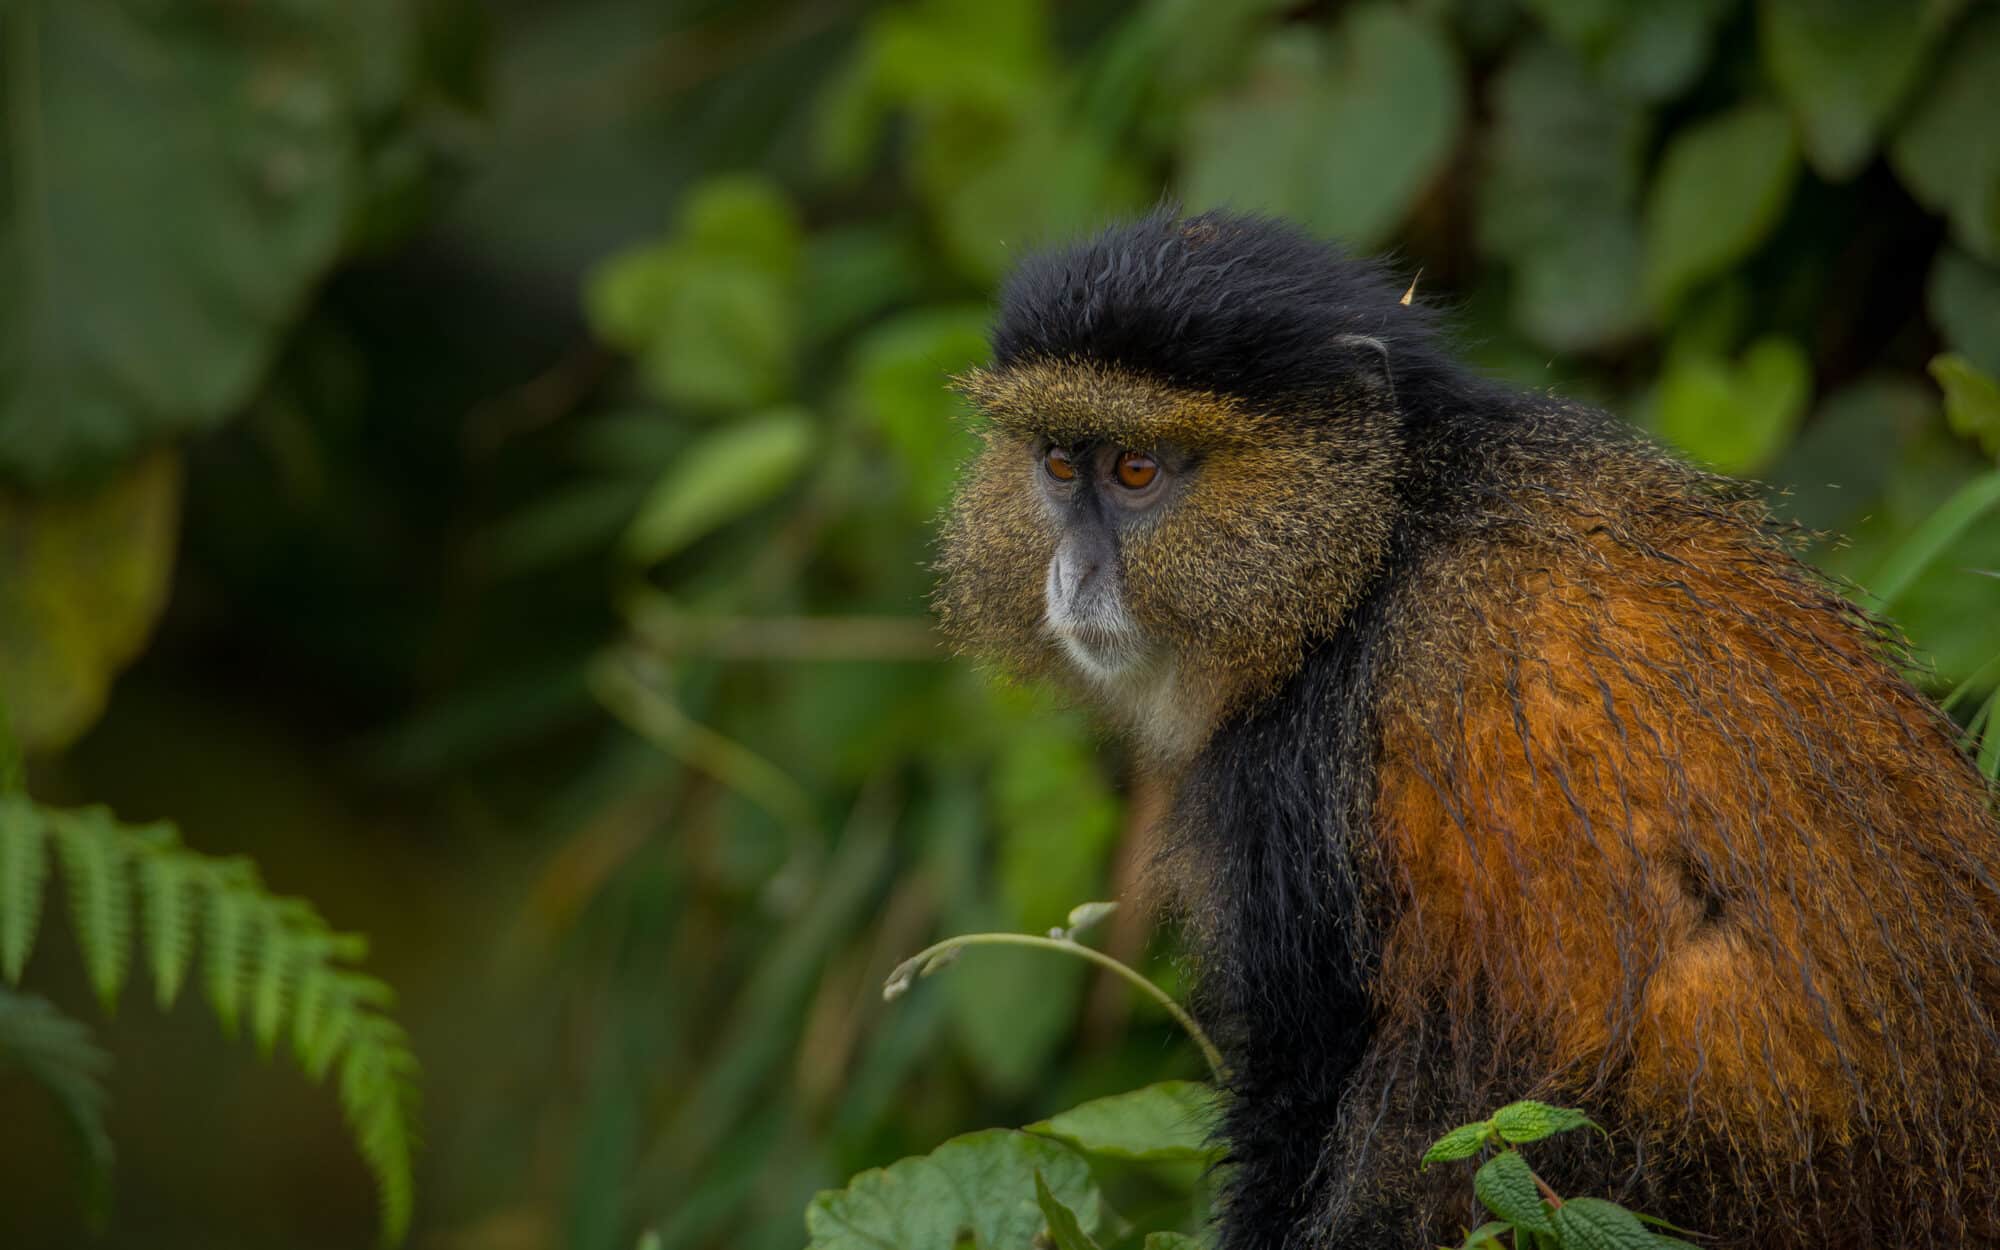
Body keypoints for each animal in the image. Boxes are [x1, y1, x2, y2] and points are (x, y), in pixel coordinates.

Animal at [933, 210, 2000, 1249]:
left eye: (1137, 470)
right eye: (1059, 464)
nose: (1073, 574)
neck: (1379, 540)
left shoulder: (1300, 780)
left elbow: (1305, 1067)